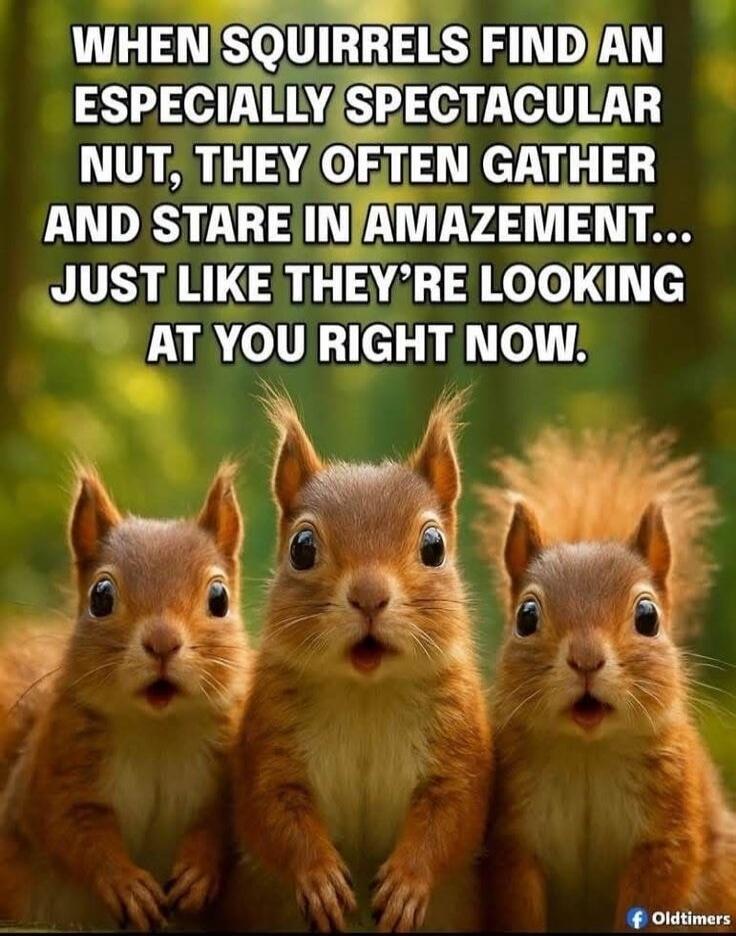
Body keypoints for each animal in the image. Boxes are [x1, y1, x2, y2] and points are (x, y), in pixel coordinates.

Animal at [0, 463, 250, 931]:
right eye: (101, 596)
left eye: (219, 597)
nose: (162, 643)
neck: (158, 729)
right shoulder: (54, 774)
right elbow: (73, 830)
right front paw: (125, 883)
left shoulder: (229, 768)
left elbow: (221, 825)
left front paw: (199, 869)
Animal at [218, 388, 492, 933]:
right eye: (302, 548)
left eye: (434, 546)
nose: (369, 596)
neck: (367, 690)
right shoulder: (267, 743)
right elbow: (273, 814)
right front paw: (320, 877)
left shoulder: (461, 747)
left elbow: (451, 815)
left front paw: (407, 882)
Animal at [477, 427, 736, 933]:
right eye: (526, 616)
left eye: (648, 616)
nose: (586, 660)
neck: (588, 754)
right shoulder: (513, 842)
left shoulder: (667, 837)